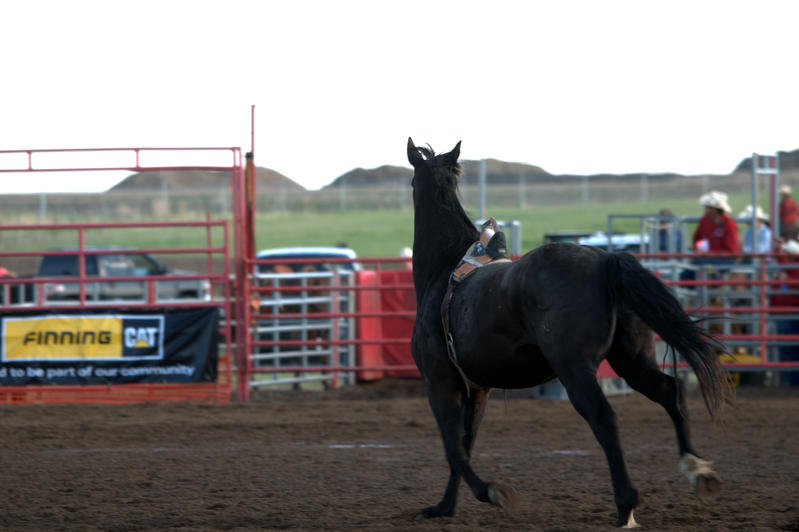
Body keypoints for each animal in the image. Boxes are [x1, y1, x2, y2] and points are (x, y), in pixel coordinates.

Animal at [406, 138, 730, 528]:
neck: (444, 272)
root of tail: (605, 262)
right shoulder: (477, 390)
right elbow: (464, 446)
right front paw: (445, 506)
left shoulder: (439, 383)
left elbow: (454, 449)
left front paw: (491, 493)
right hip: (632, 360)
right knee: (671, 392)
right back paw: (698, 470)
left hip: (574, 369)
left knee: (604, 417)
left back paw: (627, 504)